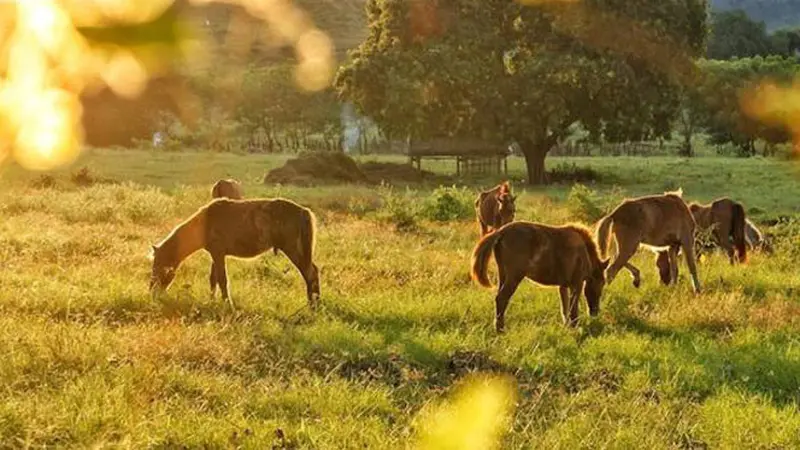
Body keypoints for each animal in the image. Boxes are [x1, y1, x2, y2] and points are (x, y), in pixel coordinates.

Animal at [148, 198, 320, 308]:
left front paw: (226, 304)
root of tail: (303, 211)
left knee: (310, 274)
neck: (205, 223)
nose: (152, 293)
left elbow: (222, 280)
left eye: (158, 267)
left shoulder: (218, 254)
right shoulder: (215, 255)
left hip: (294, 250)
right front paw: (211, 301)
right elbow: (213, 280)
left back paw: (312, 305)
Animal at [472, 221, 608, 330]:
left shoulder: (563, 285)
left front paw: (567, 327)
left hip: (503, 275)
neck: (584, 252)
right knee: (502, 298)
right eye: (601, 283)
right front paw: (575, 326)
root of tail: (501, 232)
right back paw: (500, 329)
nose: (594, 312)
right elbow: (573, 308)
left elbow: (565, 308)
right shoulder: (577, 283)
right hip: (514, 277)